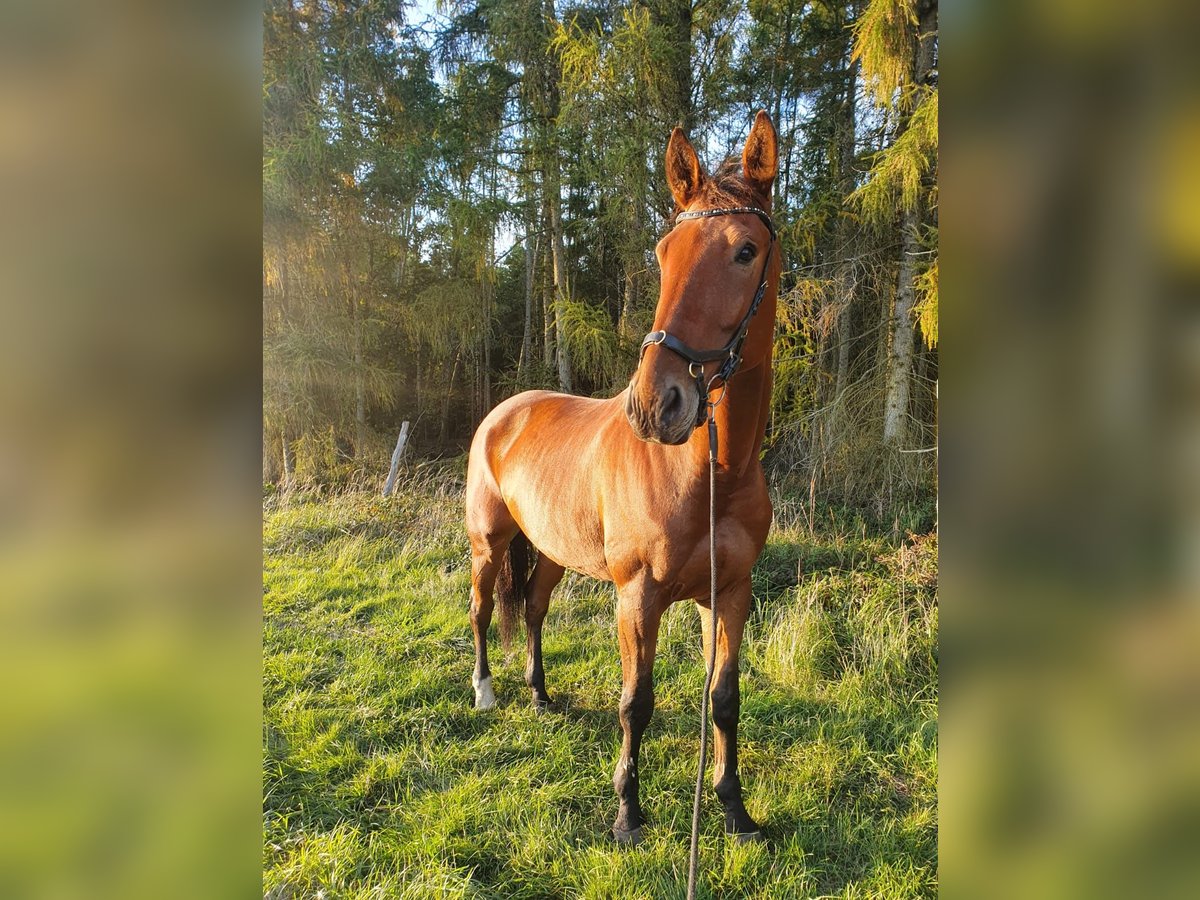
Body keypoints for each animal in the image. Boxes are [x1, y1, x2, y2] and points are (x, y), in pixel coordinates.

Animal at [463, 111, 782, 844]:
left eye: (746, 250)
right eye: (664, 252)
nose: (656, 404)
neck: (710, 475)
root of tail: (505, 412)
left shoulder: (731, 594)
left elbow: (724, 699)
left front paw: (734, 809)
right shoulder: (637, 599)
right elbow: (636, 702)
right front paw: (627, 813)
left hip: (550, 551)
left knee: (535, 611)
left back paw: (541, 694)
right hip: (488, 544)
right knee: (484, 610)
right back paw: (487, 691)